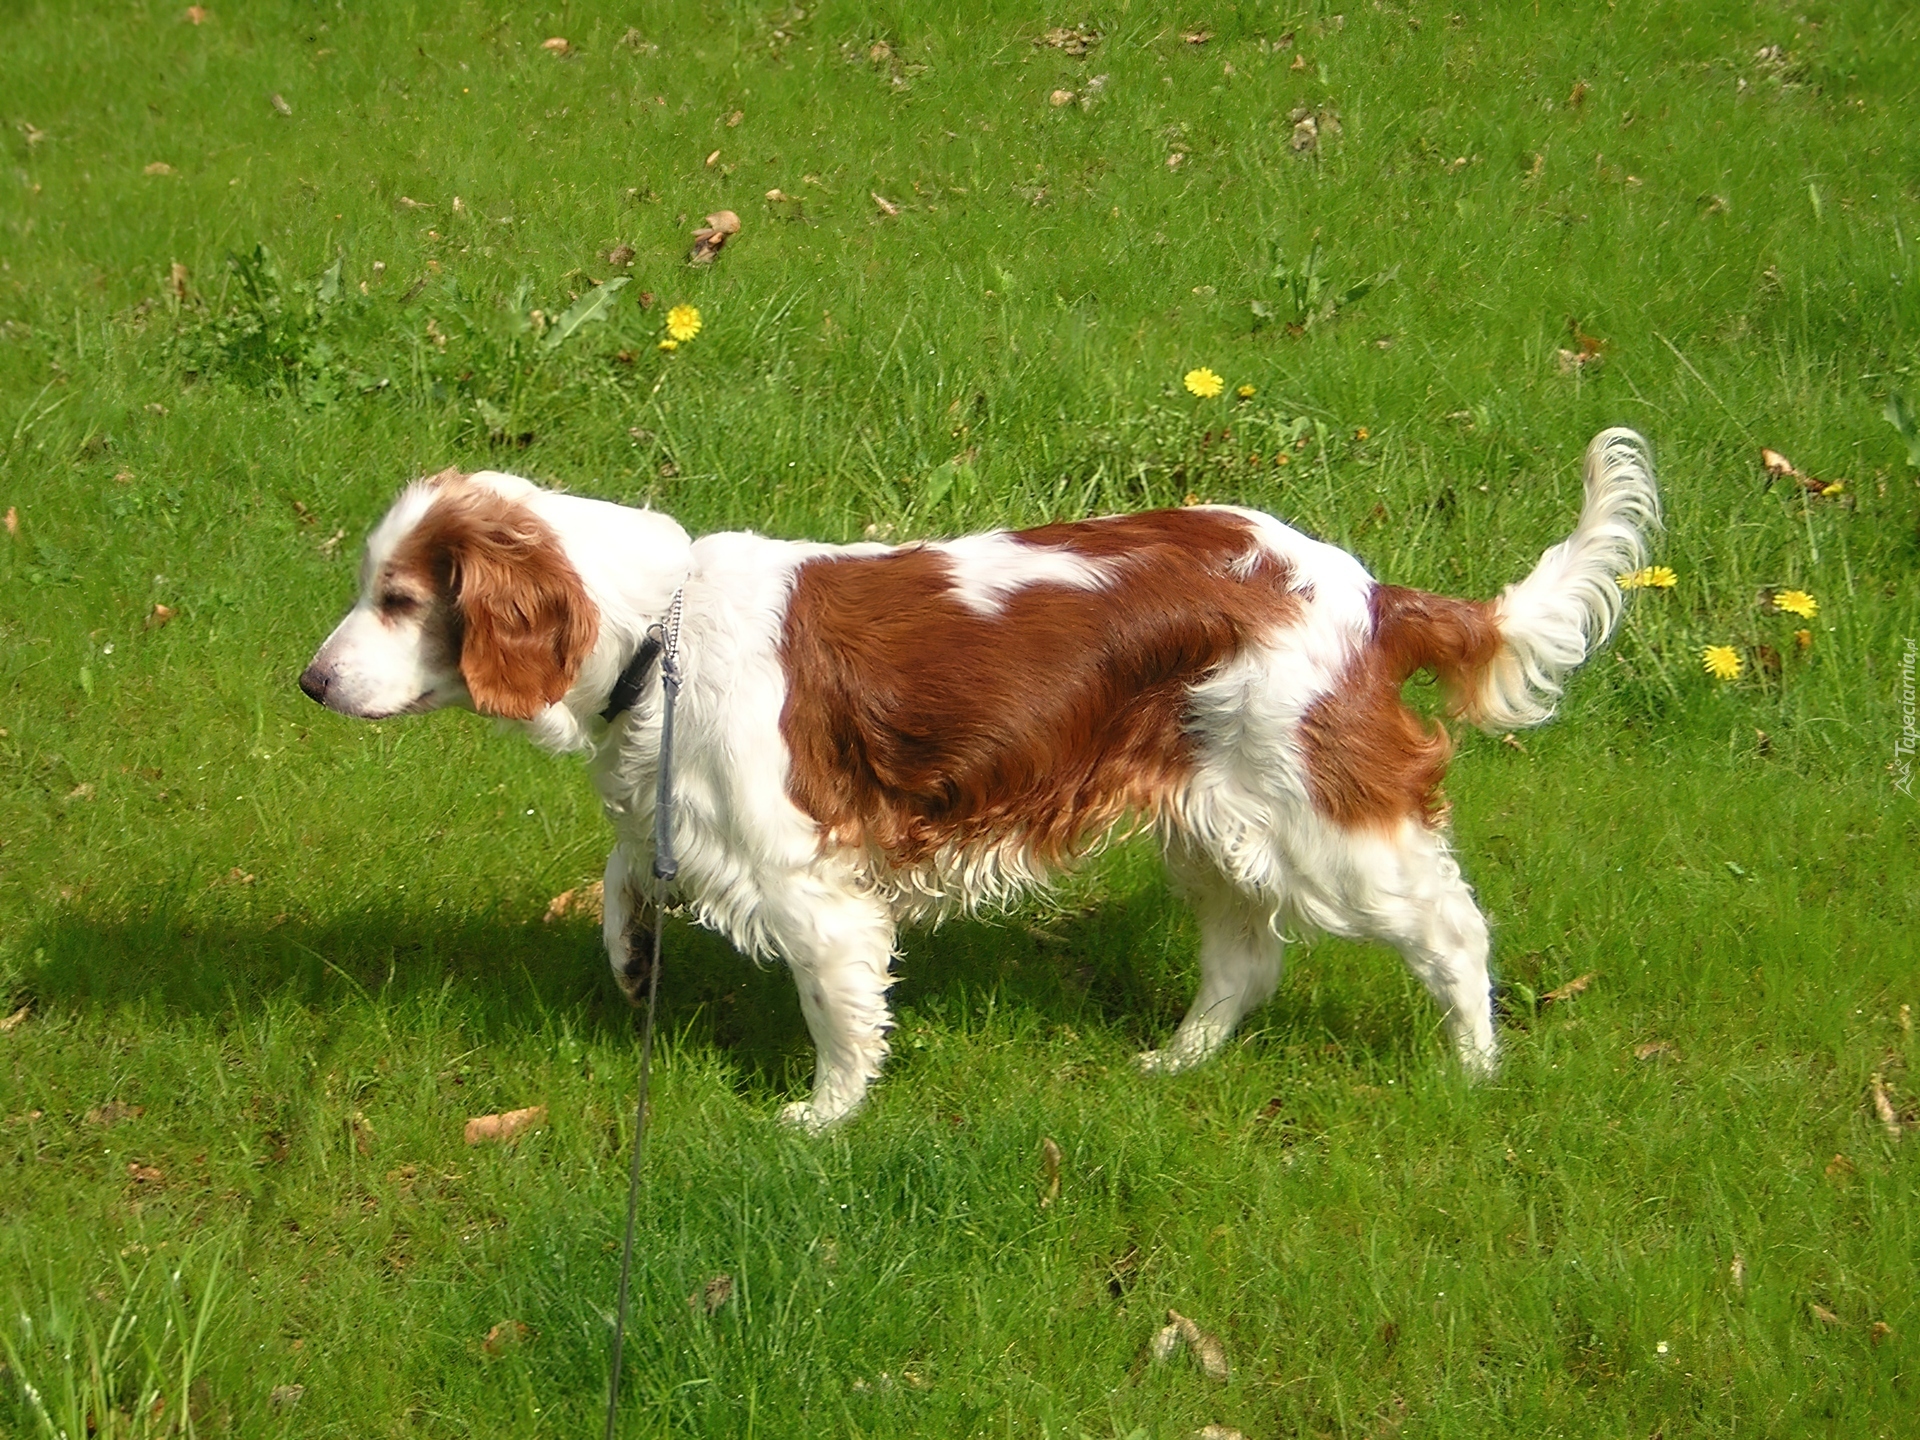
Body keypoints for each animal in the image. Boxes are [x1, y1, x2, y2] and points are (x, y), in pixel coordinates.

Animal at [307, 428, 1658, 1128]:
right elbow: (619, 881)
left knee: (1453, 932)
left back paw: (1474, 1071)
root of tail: (1370, 592)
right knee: (1245, 963)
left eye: (401, 599)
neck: (662, 625)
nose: (311, 684)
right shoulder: (678, 815)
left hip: (1323, 821)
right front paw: (635, 959)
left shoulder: (810, 885)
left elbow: (840, 1014)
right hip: (1210, 824)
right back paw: (1177, 1063)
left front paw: (822, 1120)